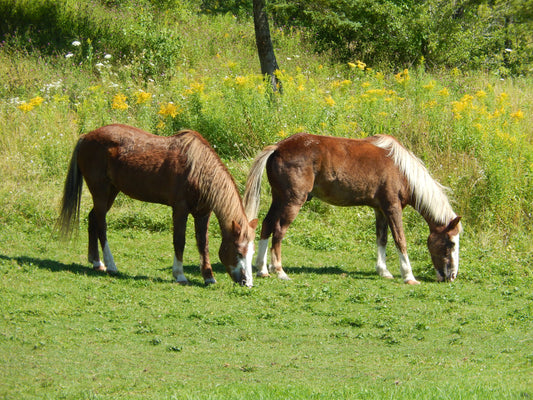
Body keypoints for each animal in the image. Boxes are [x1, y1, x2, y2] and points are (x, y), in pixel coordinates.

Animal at [57, 123, 256, 286]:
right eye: (238, 252)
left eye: (252, 253)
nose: (247, 283)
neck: (198, 170)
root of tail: (86, 136)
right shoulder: (180, 209)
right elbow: (179, 241)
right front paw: (179, 275)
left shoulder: (202, 213)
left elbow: (203, 244)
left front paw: (208, 277)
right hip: (100, 191)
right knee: (101, 225)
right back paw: (111, 265)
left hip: (111, 192)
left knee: (93, 218)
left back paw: (96, 262)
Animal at [243, 134, 460, 284]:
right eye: (451, 243)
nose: (451, 276)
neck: (400, 169)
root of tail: (278, 147)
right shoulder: (393, 208)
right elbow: (400, 240)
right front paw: (409, 276)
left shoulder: (380, 210)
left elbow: (382, 239)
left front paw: (383, 271)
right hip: (292, 201)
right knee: (279, 230)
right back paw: (279, 270)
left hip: (279, 199)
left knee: (267, 225)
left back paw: (262, 269)